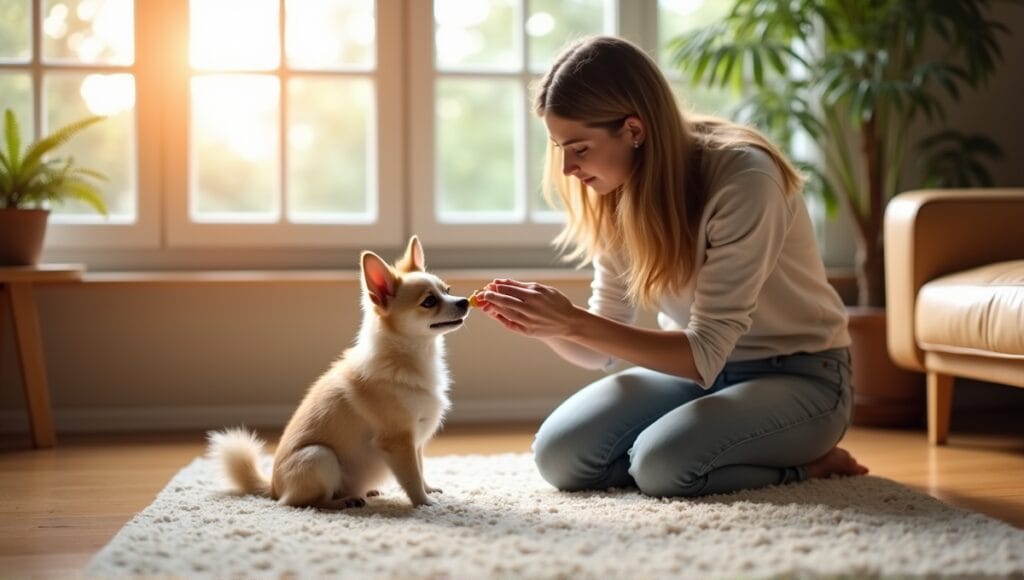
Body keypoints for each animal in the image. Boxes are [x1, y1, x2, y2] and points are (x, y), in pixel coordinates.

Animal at [208, 237, 471, 508]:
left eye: (448, 290)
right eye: (429, 302)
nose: (464, 301)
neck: (413, 356)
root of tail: (272, 488)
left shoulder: (415, 441)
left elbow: (420, 467)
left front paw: (429, 490)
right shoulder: (398, 442)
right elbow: (411, 476)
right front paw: (424, 503)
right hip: (320, 456)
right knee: (306, 502)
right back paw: (345, 501)